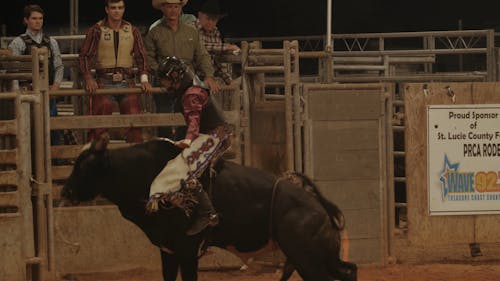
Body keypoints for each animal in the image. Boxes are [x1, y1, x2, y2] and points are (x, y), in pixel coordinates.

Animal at [61, 138, 356, 280]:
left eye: (85, 166)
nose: (65, 192)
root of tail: (318, 206)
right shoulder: (168, 251)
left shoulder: (187, 250)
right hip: (320, 258)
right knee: (349, 270)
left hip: (308, 260)